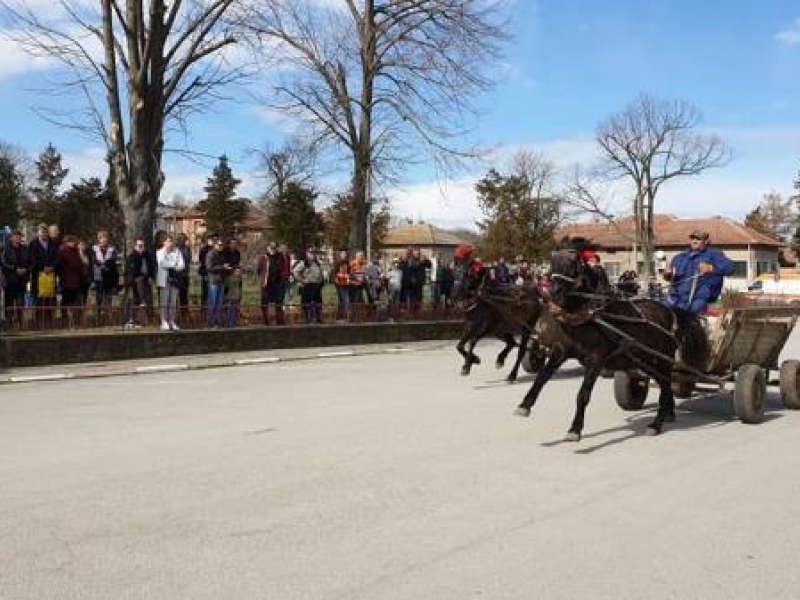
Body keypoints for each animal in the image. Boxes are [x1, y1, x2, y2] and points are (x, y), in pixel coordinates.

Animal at [512, 248, 708, 440]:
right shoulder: (561, 350)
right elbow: (541, 378)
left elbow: (583, 394)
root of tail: (670, 311)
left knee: (666, 385)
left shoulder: (596, 359)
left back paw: (656, 424)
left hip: (662, 359)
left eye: (573, 266)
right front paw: (524, 406)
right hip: (646, 361)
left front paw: (575, 429)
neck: (591, 315)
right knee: (663, 384)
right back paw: (668, 413)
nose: (554, 292)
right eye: (552, 266)